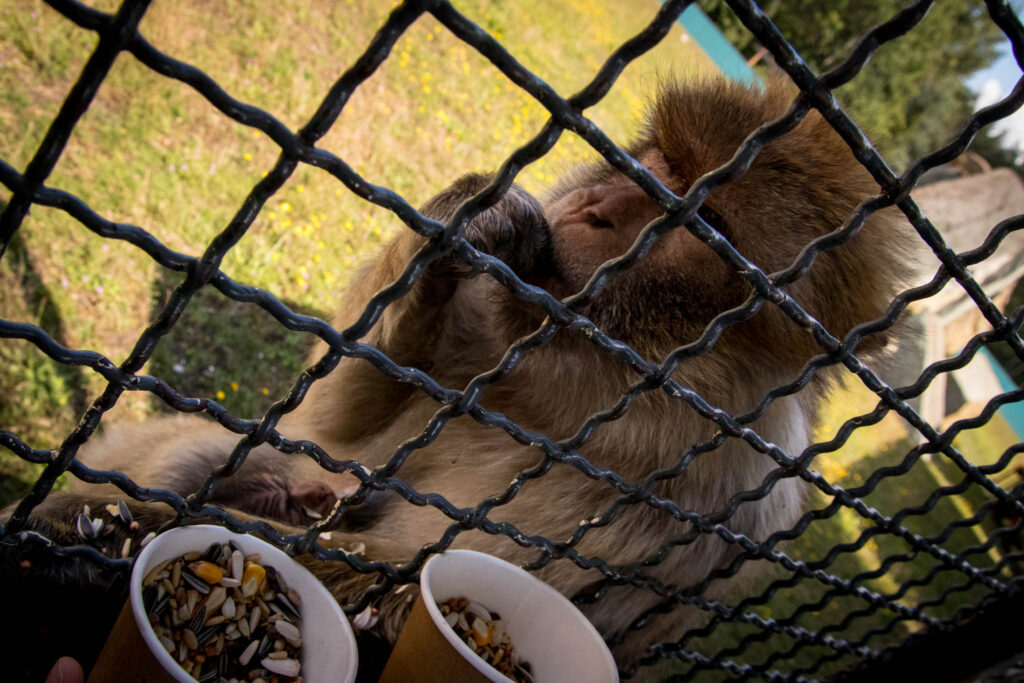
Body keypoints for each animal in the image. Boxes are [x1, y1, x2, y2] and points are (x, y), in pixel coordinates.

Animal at [4, 78, 917, 671]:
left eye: (698, 223)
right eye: (655, 163)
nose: (593, 211)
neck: (597, 387)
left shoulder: (707, 508)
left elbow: (415, 586)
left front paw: (110, 544)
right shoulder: (510, 300)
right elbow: (333, 421)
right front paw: (463, 218)